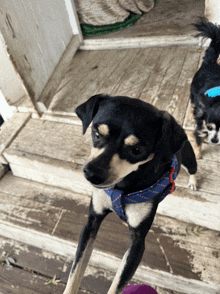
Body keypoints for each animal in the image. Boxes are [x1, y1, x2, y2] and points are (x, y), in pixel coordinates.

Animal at [62, 95, 197, 292]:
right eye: (96, 134)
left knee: (194, 169)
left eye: (137, 150)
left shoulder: (137, 245)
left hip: (189, 158)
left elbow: (117, 284)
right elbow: (76, 271)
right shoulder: (91, 223)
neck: (122, 186)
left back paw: (193, 182)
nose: (92, 174)